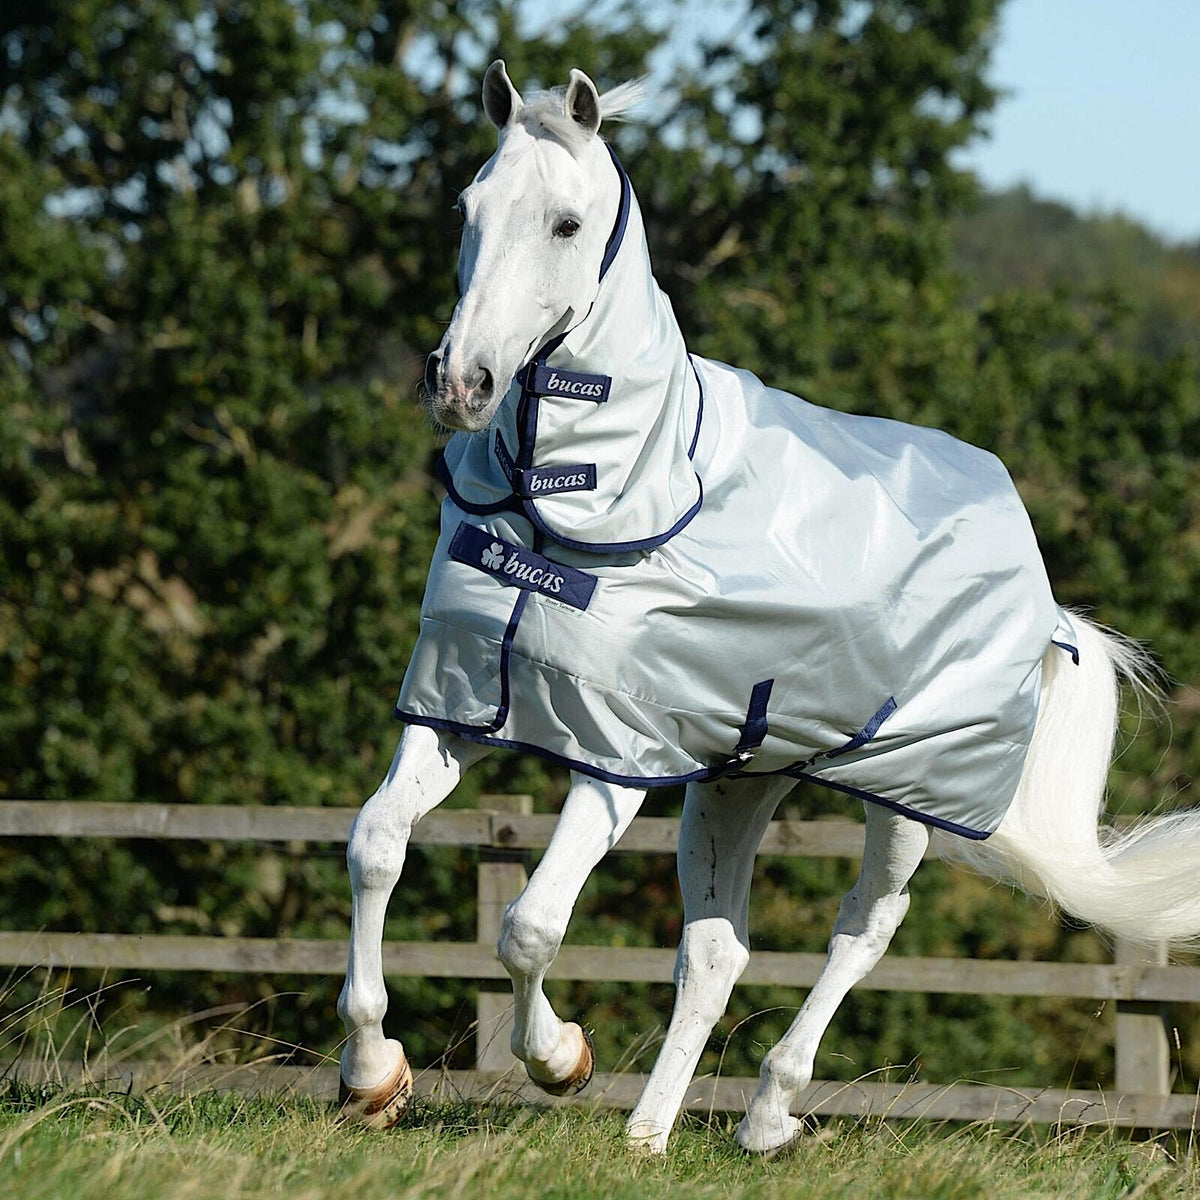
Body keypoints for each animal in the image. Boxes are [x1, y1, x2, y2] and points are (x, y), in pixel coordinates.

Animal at [336, 63, 1200, 1152]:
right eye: (467, 209)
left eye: (566, 223)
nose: (460, 382)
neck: (587, 489)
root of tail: (1039, 588)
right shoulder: (460, 706)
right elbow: (375, 844)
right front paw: (373, 1074)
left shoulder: (616, 757)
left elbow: (529, 926)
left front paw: (561, 1059)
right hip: (741, 781)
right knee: (716, 955)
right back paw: (649, 1135)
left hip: (903, 793)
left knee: (862, 930)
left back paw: (768, 1109)